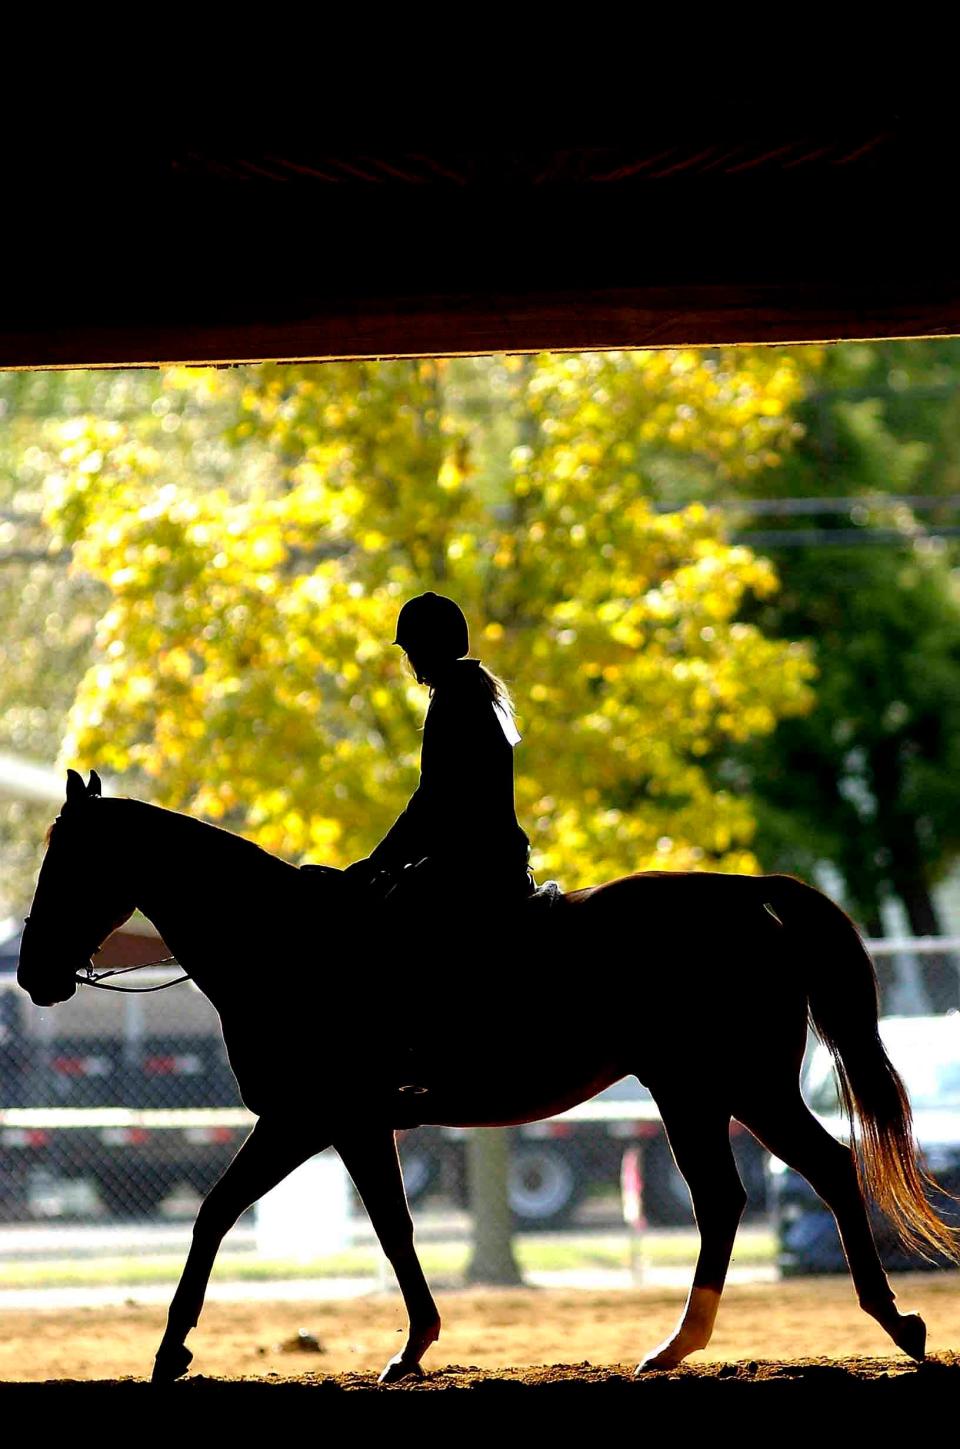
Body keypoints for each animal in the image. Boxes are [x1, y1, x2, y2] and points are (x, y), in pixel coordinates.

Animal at [16, 770, 960, 1379]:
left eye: (68, 861)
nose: (32, 974)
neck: (284, 945)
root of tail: (741, 893)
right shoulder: (352, 1125)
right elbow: (389, 1227)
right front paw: (413, 1344)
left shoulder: (308, 1119)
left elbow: (218, 1212)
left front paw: (171, 1348)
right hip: (693, 1092)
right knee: (725, 1199)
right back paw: (676, 1346)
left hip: (741, 1088)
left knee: (825, 1169)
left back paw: (896, 1323)